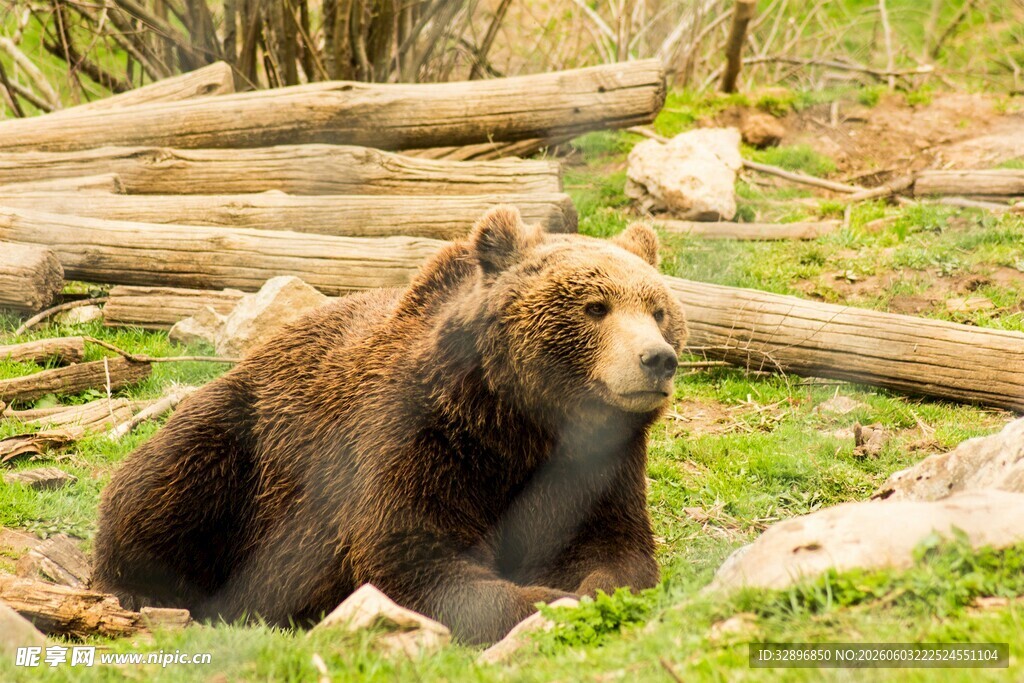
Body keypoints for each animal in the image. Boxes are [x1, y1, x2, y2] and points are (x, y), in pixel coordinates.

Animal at [92, 206, 688, 645]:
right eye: (595, 306)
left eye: (657, 309)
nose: (657, 359)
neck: (520, 422)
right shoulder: (421, 438)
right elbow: (411, 554)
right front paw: (542, 600)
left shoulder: (599, 465)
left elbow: (615, 550)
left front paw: (590, 589)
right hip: (246, 439)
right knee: (163, 482)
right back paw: (147, 591)